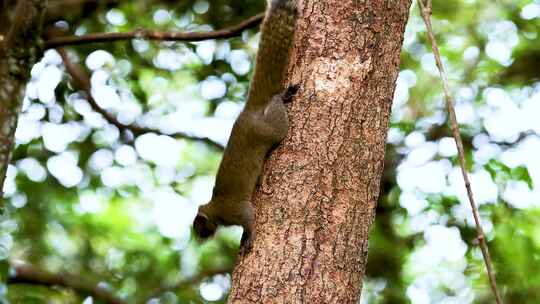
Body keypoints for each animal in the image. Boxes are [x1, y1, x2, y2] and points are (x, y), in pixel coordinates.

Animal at [192, 0, 298, 248]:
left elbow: (249, 218)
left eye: (200, 228)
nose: (199, 240)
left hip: (271, 128)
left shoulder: (234, 212)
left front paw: (248, 237)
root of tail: (248, 111)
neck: (214, 208)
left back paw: (281, 96)